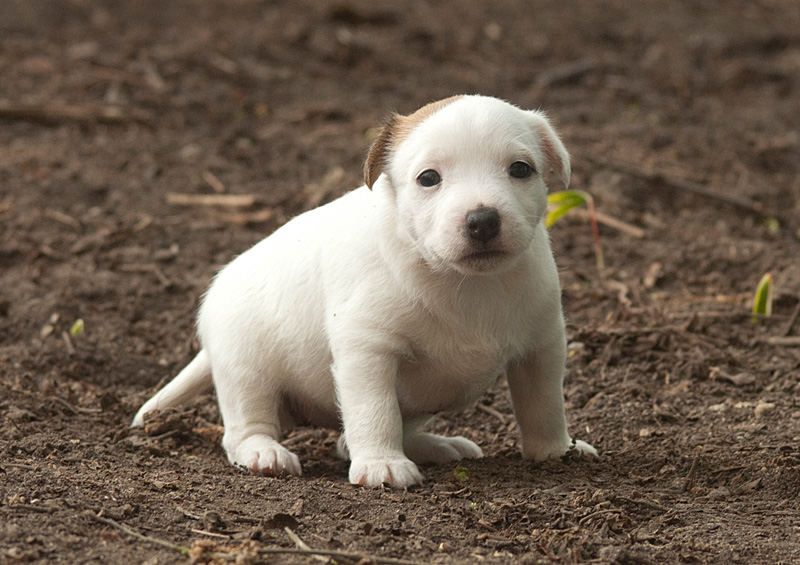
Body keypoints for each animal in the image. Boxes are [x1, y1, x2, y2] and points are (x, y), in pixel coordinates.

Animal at [130, 93, 592, 484]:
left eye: (520, 169)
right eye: (429, 178)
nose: (482, 221)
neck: (464, 282)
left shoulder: (542, 347)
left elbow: (544, 405)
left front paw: (556, 450)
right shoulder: (368, 353)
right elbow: (375, 410)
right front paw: (382, 465)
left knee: (358, 437)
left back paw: (433, 445)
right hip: (247, 370)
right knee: (246, 427)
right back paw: (265, 452)